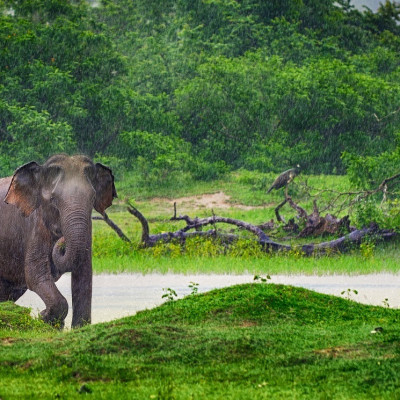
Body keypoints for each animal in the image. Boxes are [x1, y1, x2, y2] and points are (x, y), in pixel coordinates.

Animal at [0, 155, 117, 326]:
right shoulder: (35, 225)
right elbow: (35, 275)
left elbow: (84, 275)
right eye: (53, 199)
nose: (62, 240)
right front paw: (43, 316)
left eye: (93, 198)